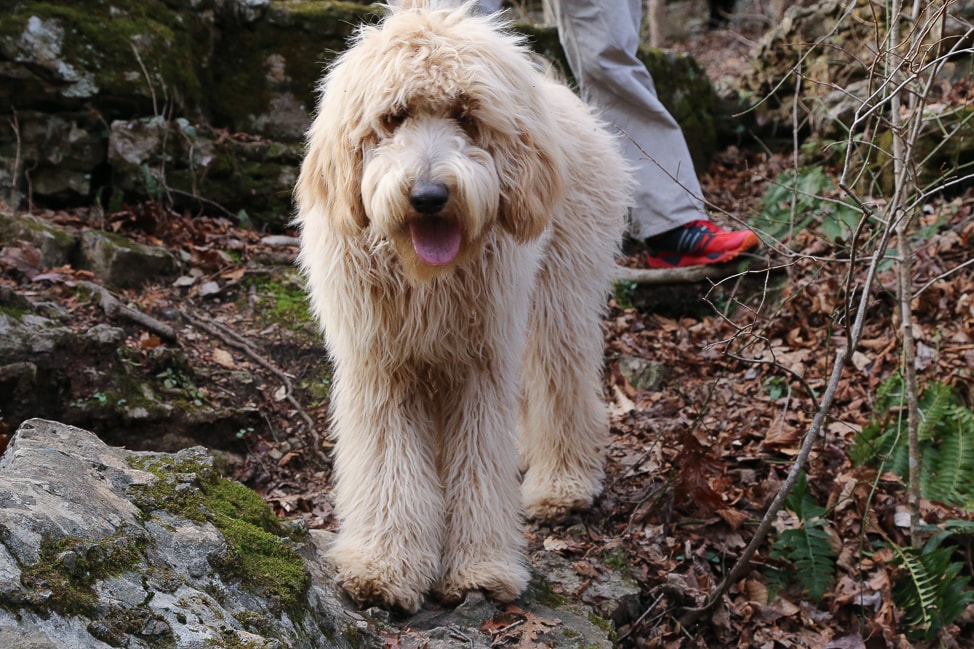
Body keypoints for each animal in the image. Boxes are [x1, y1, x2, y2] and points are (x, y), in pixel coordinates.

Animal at [298, 1, 628, 612]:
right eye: (394, 116)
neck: (426, 275)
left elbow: (477, 463)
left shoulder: (480, 361)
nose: (428, 196)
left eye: (465, 114)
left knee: (562, 381)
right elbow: (388, 463)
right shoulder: (382, 363)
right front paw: (384, 566)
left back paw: (561, 483)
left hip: (558, 296)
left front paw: (479, 568)